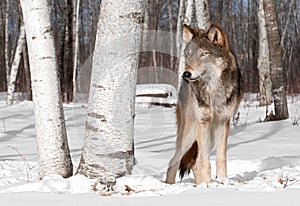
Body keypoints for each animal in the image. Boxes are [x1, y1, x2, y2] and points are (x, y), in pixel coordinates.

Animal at [165, 24, 243, 185]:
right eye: (188, 54)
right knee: (174, 161)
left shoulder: (223, 122)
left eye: (204, 54)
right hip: (189, 135)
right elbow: (205, 161)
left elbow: (220, 158)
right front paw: (207, 183)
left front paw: (222, 181)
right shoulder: (203, 122)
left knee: (194, 163)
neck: (213, 89)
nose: (186, 74)